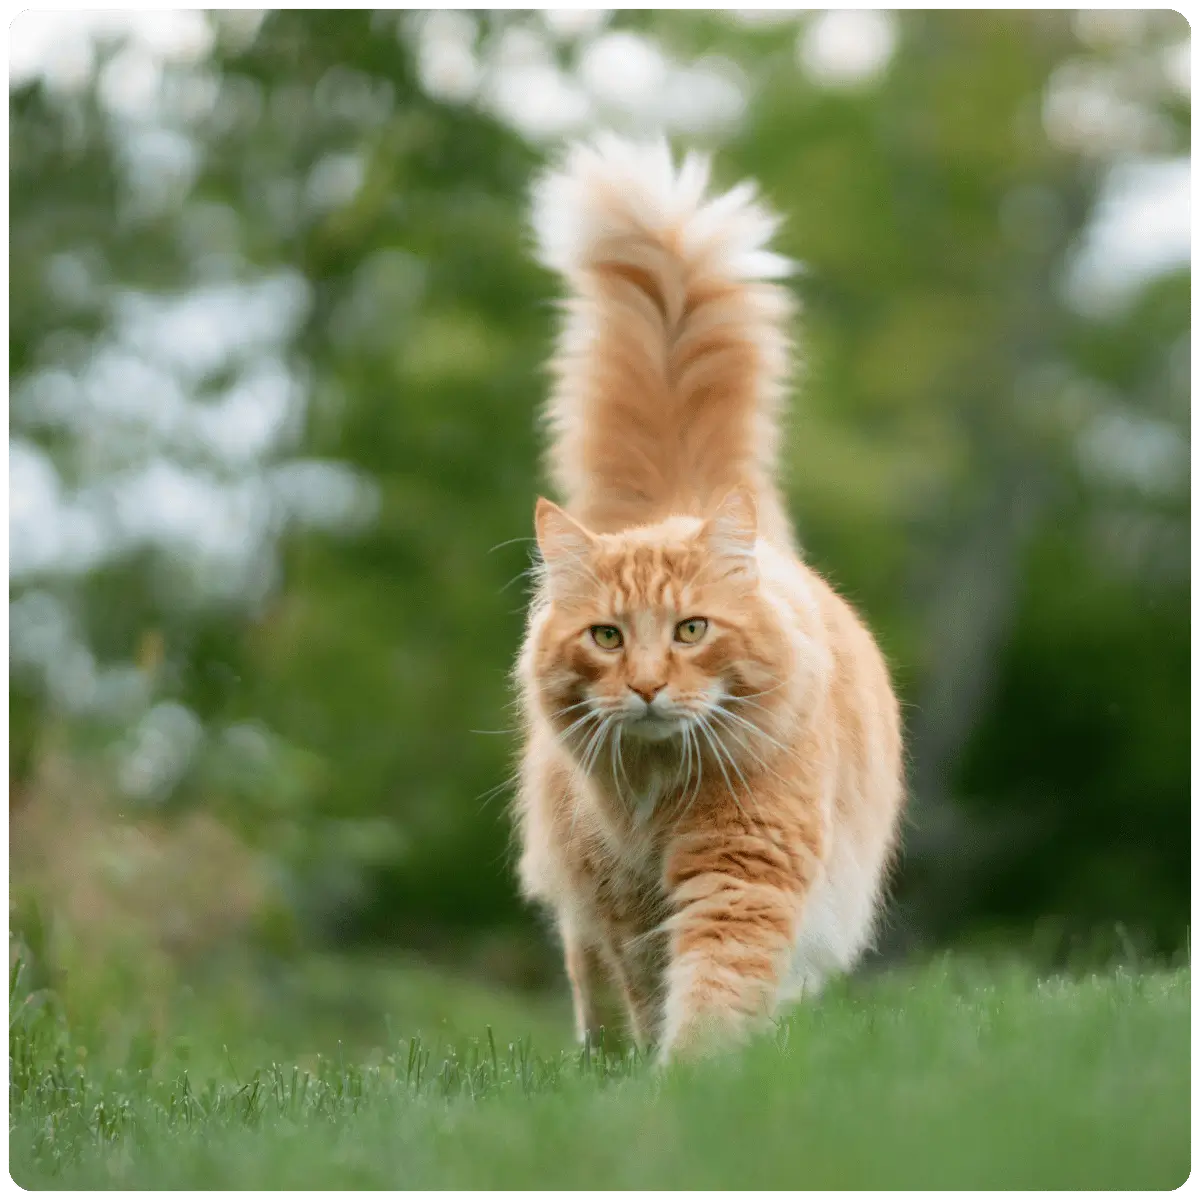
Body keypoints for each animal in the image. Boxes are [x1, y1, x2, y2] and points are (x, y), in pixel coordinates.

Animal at [511, 136, 902, 1065]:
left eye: (691, 630)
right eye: (608, 638)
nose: (650, 686)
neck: (662, 798)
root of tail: (681, 500)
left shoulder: (743, 871)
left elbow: (715, 989)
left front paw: (698, 1078)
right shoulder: (624, 905)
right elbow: (652, 993)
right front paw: (660, 1075)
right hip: (579, 897)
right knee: (591, 988)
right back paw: (600, 1062)